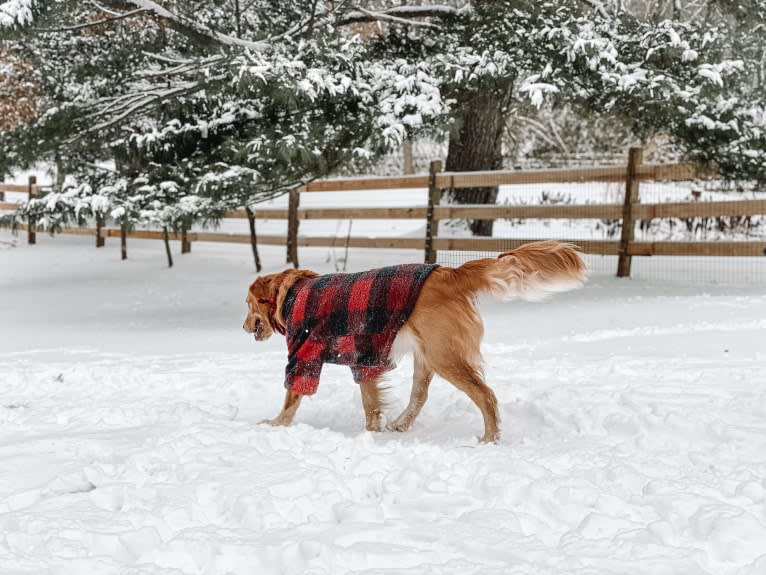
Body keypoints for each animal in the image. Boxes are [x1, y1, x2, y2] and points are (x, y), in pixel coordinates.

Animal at [244, 241, 588, 444]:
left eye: (247, 305)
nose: (244, 327)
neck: (292, 294)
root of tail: (450, 273)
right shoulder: (363, 356)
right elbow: (370, 402)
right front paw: (372, 433)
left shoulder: (304, 355)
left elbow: (292, 397)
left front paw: (275, 424)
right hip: (428, 356)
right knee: (420, 396)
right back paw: (400, 424)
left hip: (444, 355)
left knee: (486, 395)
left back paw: (489, 438)